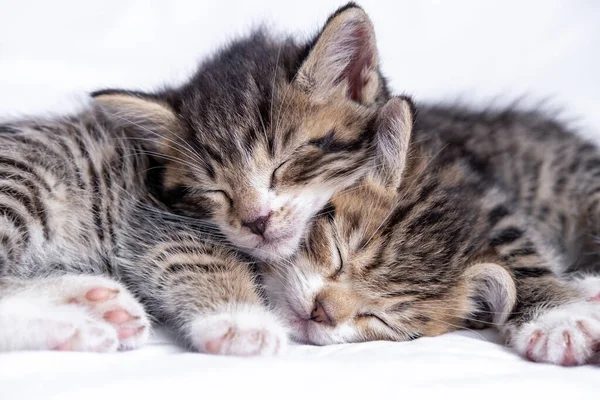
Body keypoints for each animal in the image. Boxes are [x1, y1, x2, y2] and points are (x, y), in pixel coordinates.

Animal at [0, 2, 386, 354]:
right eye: (214, 189)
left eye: (285, 162)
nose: (256, 221)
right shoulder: (151, 216)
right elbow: (197, 258)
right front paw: (241, 322)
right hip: (24, 179)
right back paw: (76, 326)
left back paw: (96, 303)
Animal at [264, 97, 600, 366]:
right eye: (338, 254)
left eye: (380, 317)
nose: (321, 312)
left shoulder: (491, 200)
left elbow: (523, 251)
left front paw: (559, 321)